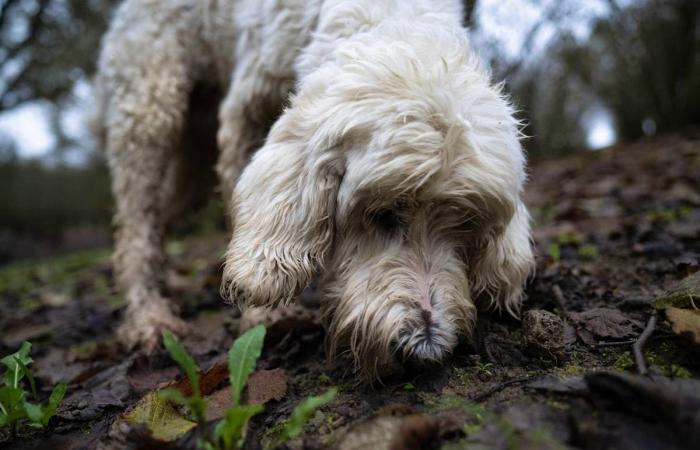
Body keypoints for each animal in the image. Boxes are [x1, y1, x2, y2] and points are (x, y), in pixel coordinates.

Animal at [91, 0, 532, 380]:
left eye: (465, 226)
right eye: (382, 214)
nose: (423, 353)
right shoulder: (244, 114)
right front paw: (263, 317)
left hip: (194, 154)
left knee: (158, 216)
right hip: (151, 106)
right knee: (136, 226)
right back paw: (148, 317)